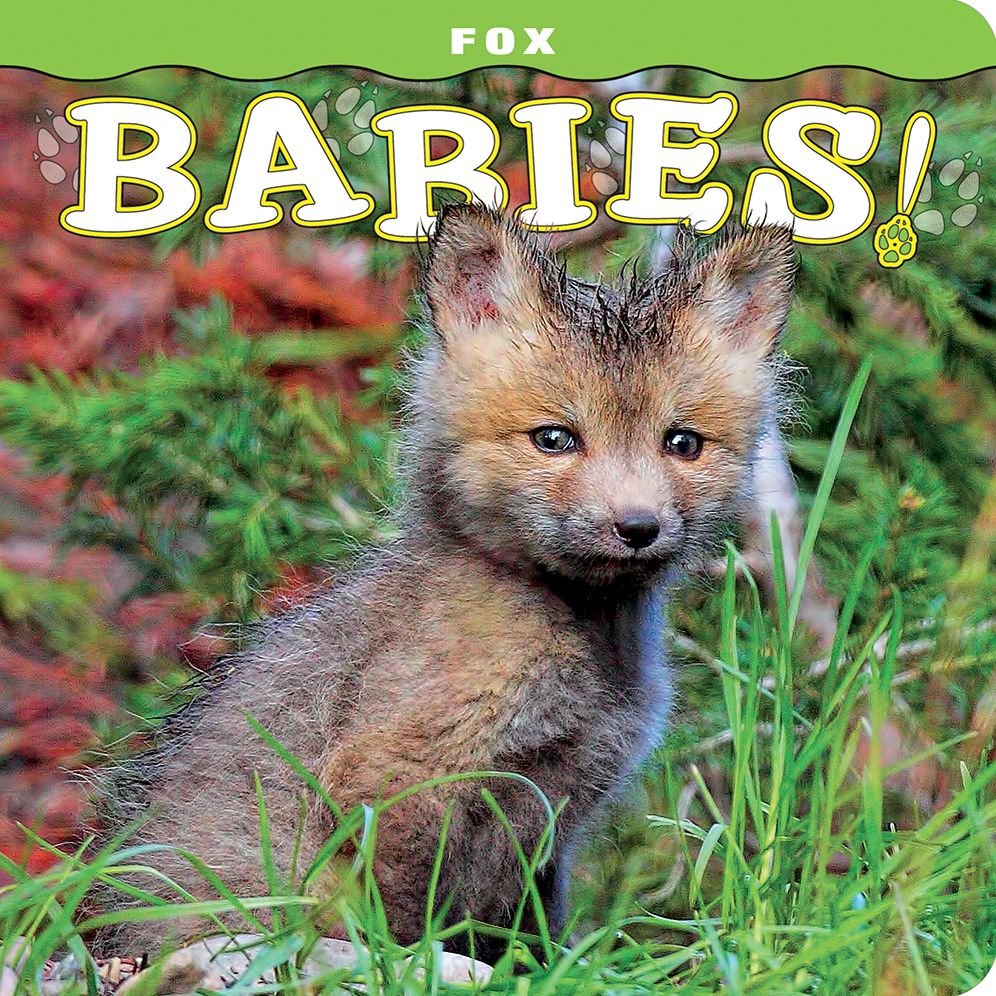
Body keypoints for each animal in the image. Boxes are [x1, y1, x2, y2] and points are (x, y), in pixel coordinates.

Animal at [89, 204, 796, 960]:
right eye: (554, 439)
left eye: (683, 443)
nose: (637, 526)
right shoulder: (396, 778)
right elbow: (405, 928)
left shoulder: (547, 826)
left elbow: (531, 945)